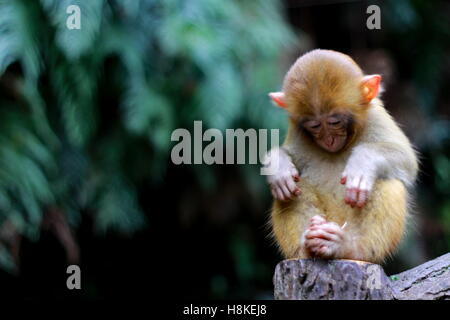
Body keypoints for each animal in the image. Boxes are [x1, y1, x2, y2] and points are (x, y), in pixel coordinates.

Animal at [264, 48, 418, 262]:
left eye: (335, 122)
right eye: (314, 125)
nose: (328, 139)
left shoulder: (375, 116)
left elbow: (407, 159)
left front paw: (361, 165)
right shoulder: (297, 129)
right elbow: (288, 158)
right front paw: (279, 167)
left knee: (388, 182)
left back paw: (347, 247)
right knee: (293, 189)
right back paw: (308, 245)